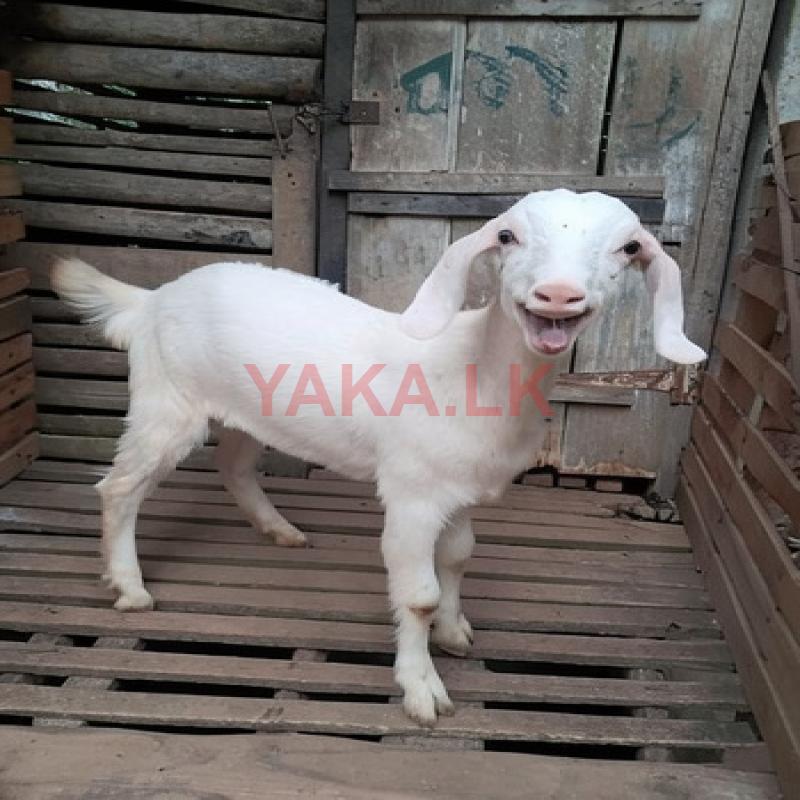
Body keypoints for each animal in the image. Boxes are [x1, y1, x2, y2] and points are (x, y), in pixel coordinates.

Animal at [51, 189, 706, 726]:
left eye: (629, 247)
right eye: (507, 237)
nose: (558, 295)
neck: (471, 369)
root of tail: (150, 300)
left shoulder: (461, 491)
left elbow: (458, 560)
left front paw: (454, 632)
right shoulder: (412, 493)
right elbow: (418, 595)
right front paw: (421, 690)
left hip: (247, 411)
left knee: (233, 465)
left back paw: (280, 530)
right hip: (168, 401)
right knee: (119, 488)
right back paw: (130, 588)